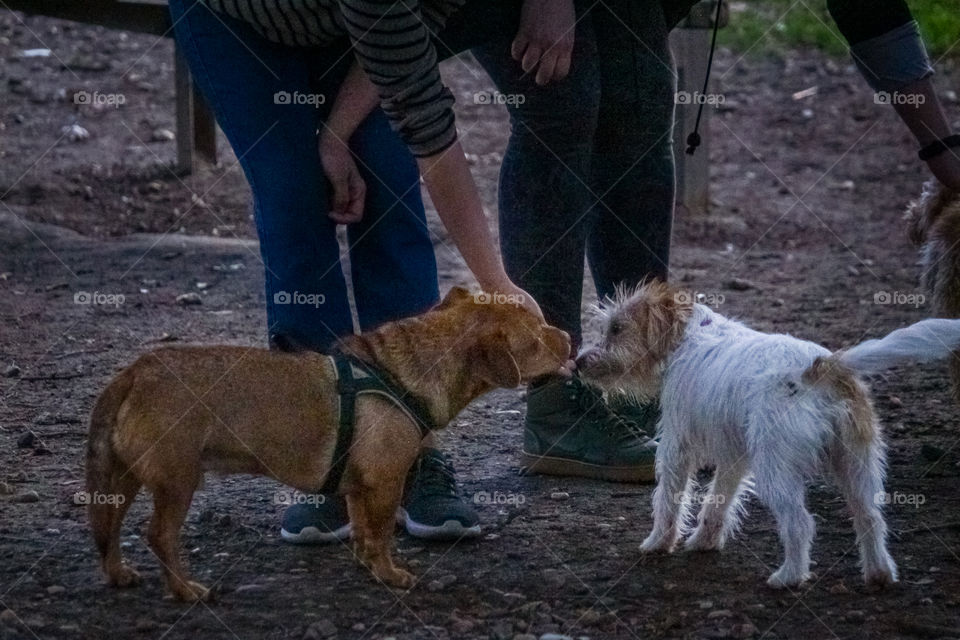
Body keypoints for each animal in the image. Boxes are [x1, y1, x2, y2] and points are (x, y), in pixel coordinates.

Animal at [86, 288, 568, 604]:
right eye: (538, 335)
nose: (567, 336)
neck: (403, 368)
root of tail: (134, 373)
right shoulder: (385, 482)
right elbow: (380, 533)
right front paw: (390, 574)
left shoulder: (359, 486)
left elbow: (364, 531)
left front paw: (367, 564)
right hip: (177, 482)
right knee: (158, 535)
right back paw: (185, 590)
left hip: (121, 480)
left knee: (108, 527)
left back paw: (118, 574)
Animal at [572, 282, 960, 588]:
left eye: (617, 329)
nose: (579, 361)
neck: (689, 336)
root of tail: (822, 366)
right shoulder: (733, 457)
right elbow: (717, 502)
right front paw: (704, 541)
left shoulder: (676, 448)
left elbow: (668, 500)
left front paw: (658, 543)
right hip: (857, 466)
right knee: (871, 518)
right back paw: (879, 574)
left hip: (777, 470)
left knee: (800, 523)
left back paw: (789, 577)